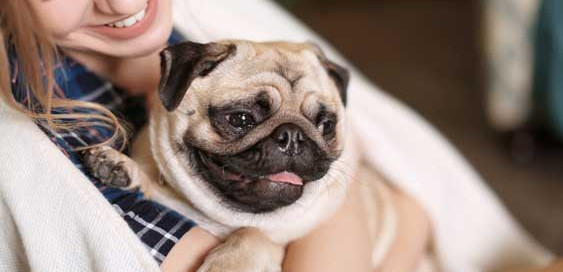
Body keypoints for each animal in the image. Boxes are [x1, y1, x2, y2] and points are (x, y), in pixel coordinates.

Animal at [82, 40, 400, 272]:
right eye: (241, 119)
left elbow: (253, 235)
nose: (293, 136)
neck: (224, 217)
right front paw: (120, 166)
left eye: (326, 125)